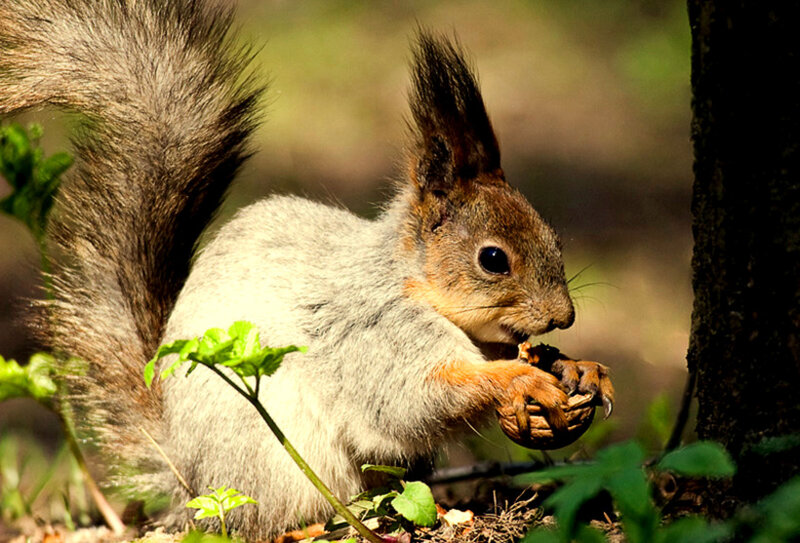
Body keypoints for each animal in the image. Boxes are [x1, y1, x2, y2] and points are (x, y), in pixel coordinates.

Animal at [0, 0, 614, 540]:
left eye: (554, 236)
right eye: (492, 259)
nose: (563, 316)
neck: (410, 282)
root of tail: (187, 479)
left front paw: (575, 368)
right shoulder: (373, 335)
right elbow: (413, 400)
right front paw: (519, 380)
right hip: (267, 463)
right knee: (273, 518)